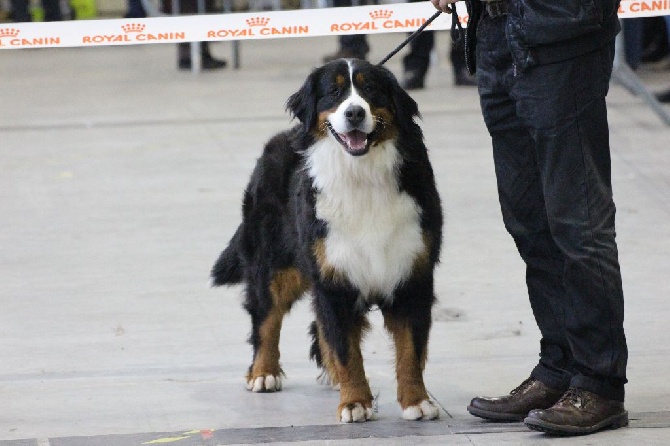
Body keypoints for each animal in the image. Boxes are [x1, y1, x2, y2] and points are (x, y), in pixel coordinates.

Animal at [213, 57, 444, 424]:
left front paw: (416, 401)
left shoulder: (412, 273)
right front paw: (355, 402)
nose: (355, 113)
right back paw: (264, 372)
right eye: (333, 93)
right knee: (266, 317)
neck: (361, 174)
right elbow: (346, 347)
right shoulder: (333, 276)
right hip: (275, 265)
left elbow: (411, 347)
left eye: (370, 89)